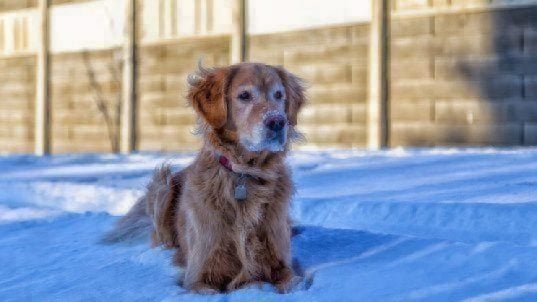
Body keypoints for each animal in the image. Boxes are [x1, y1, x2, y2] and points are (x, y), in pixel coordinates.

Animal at [104, 62, 306, 294]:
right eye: (244, 95)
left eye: (279, 95)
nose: (277, 122)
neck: (244, 173)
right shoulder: (198, 277)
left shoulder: (282, 264)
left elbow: (293, 282)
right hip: (162, 184)